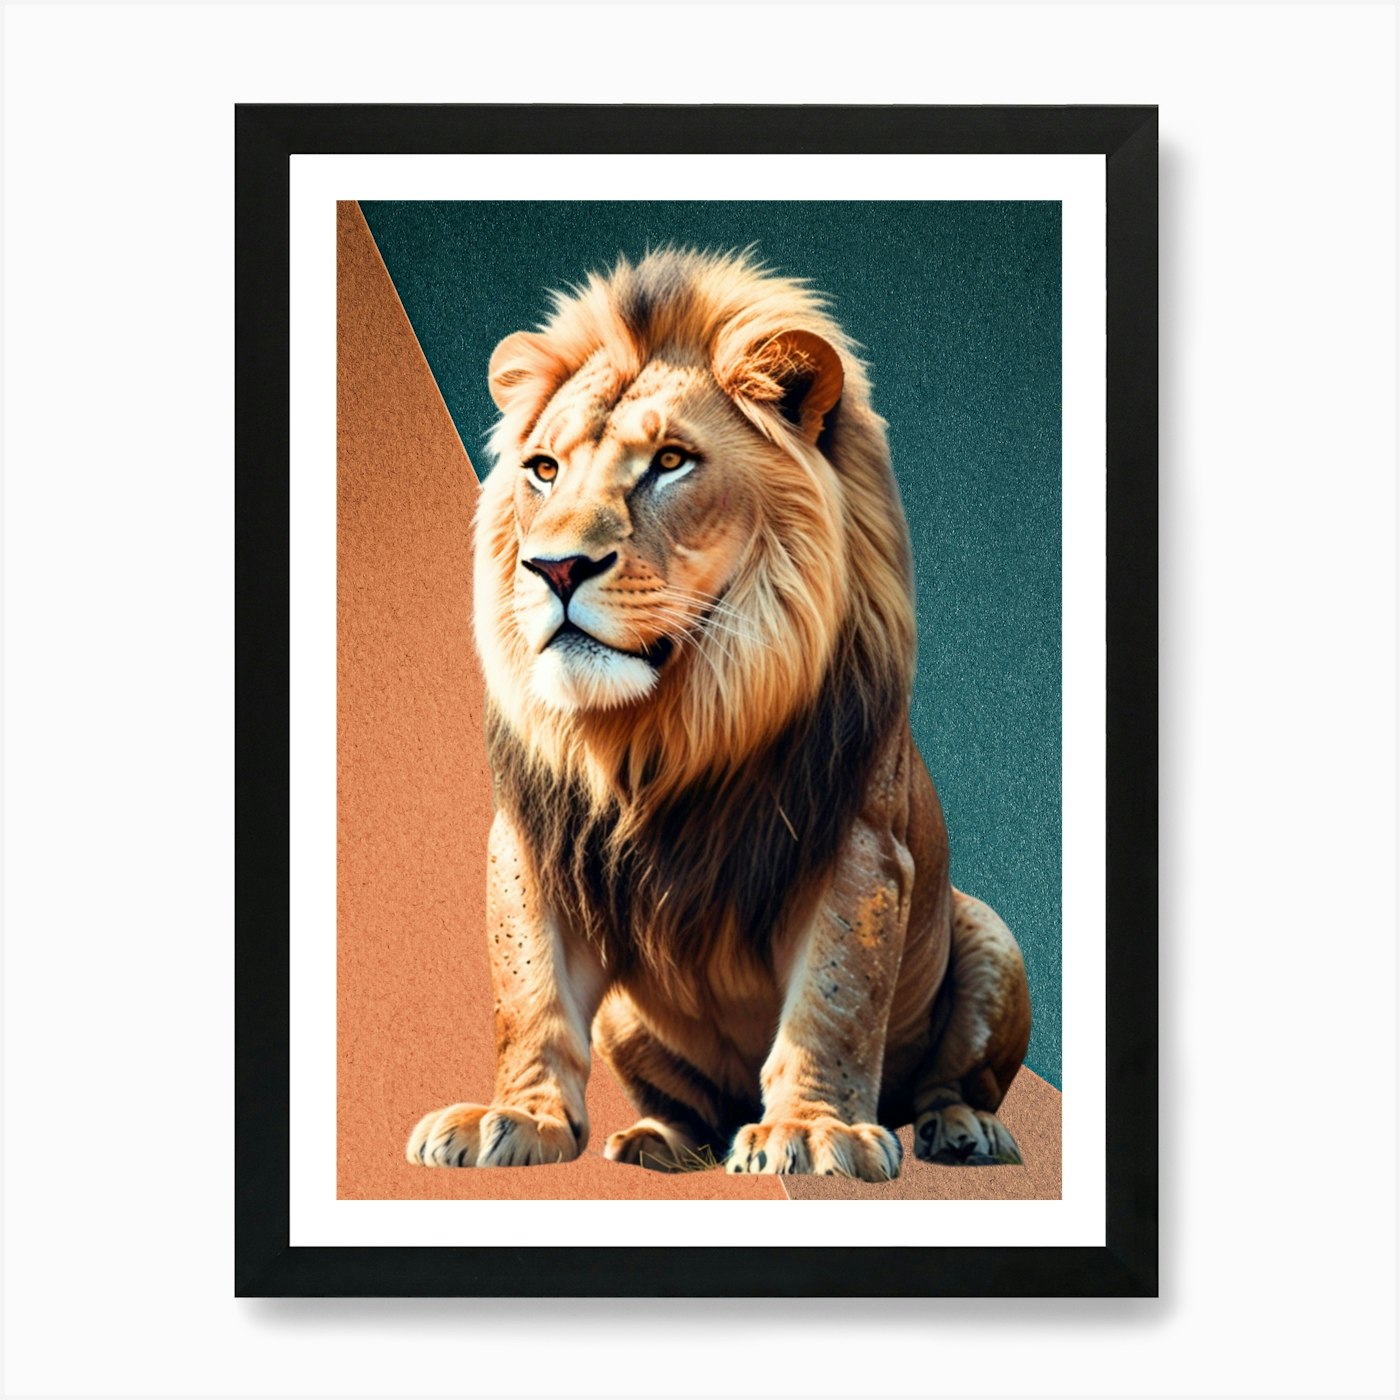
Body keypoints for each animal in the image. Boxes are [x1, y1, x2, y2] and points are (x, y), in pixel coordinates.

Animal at [406, 248, 1031, 1180]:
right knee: (696, 1105)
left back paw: (964, 1129)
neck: (670, 723)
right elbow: (530, 998)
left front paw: (813, 1131)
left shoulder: (857, 842)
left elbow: (835, 1000)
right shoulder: (534, 842)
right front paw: (516, 1115)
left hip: (992, 934)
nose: (554, 568)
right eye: (544, 469)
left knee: (945, 1082)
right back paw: (658, 1141)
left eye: (670, 460)